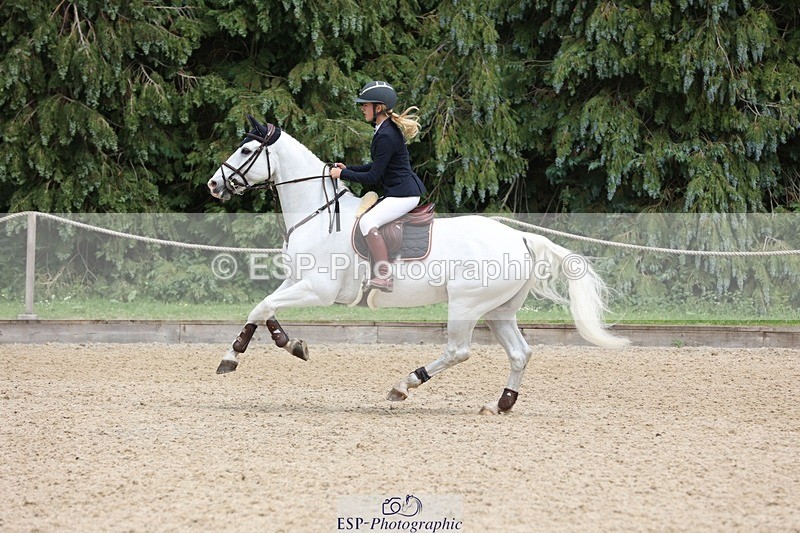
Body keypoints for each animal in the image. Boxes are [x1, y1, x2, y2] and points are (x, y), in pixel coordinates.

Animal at [207, 116, 629, 414]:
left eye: (246, 151)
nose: (214, 185)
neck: (317, 211)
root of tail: (522, 238)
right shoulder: (297, 281)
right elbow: (264, 309)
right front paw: (289, 344)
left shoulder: (318, 289)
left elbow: (261, 306)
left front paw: (233, 357)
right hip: (499, 311)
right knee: (519, 353)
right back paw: (501, 403)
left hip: (466, 304)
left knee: (459, 350)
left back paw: (404, 384)